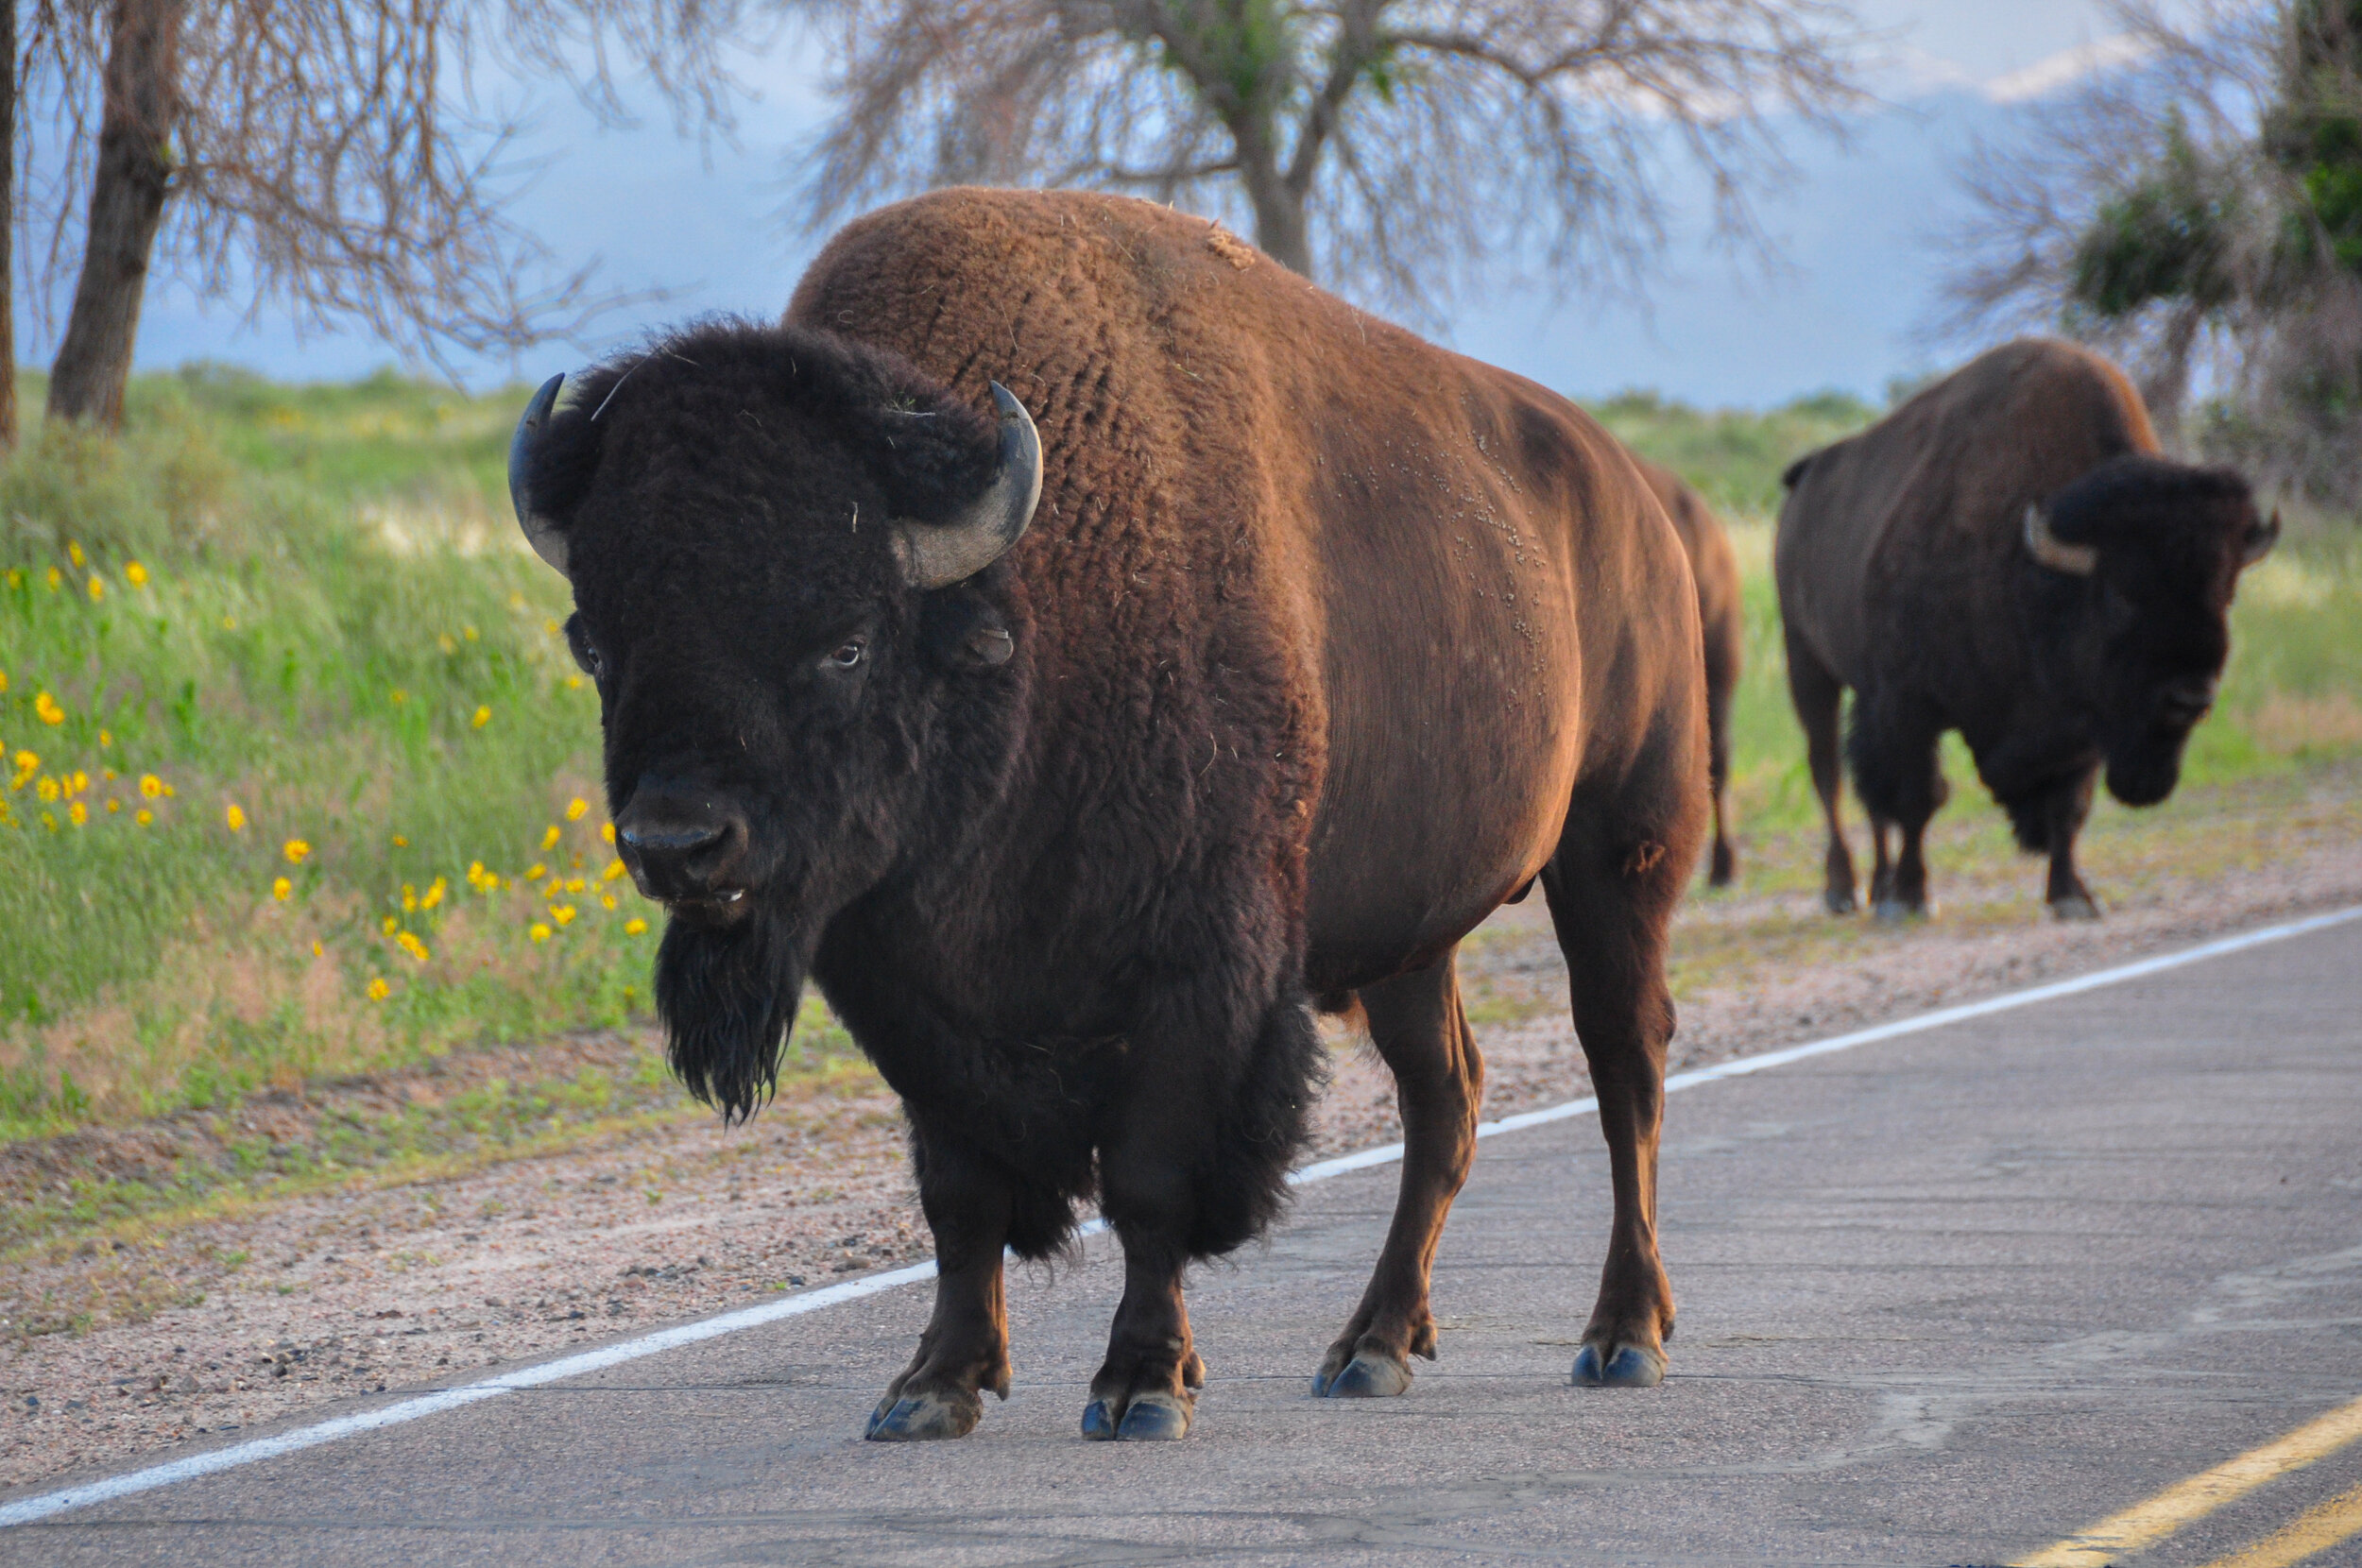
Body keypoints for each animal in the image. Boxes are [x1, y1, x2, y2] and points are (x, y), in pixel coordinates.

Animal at [509, 188, 1707, 1443]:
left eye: (846, 643)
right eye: (599, 642)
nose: (678, 843)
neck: (1023, 613)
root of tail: (1635, 497)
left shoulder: (1195, 972)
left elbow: (1148, 1181)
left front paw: (1140, 1383)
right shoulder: (911, 995)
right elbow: (959, 1192)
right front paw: (933, 1383)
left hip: (1619, 854)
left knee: (1624, 1063)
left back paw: (1621, 1334)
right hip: (1409, 938)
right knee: (1446, 1099)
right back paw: (1372, 1345)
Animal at [1776, 338, 2276, 921]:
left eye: (2226, 592)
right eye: (2120, 596)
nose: (2190, 698)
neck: (2034, 565)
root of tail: (1805, 478)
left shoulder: (2078, 725)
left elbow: (2068, 807)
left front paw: (2072, 895)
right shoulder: (1907, 703)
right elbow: (1920, 798)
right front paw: (1910, 898)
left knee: (1866, 796)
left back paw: (1876, 886)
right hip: (1809, 666)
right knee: (1830, 777)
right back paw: (1845, 890)